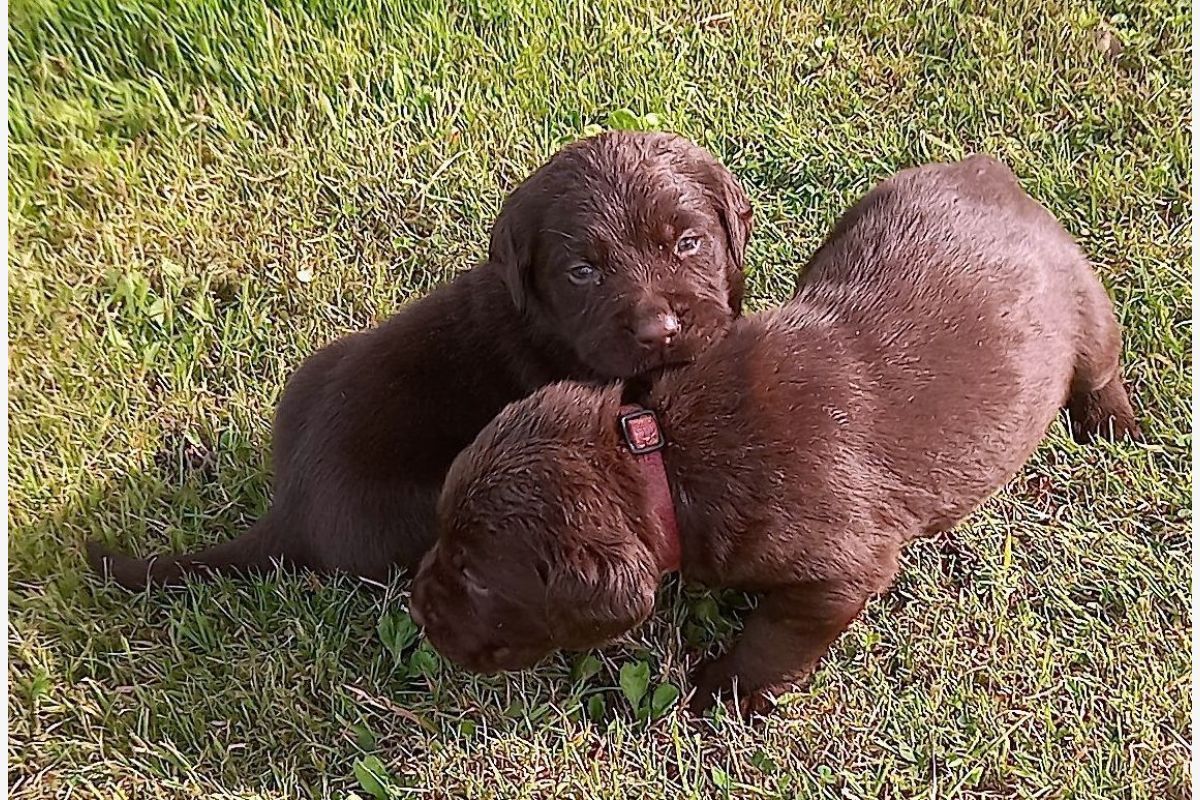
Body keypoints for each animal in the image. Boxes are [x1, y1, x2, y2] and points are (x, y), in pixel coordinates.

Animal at [408, 154, 1137, 714]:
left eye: (473, 574)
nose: (416, 606)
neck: (662, 453)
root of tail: (990, 172)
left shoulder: (839, 574)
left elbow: (777, 634)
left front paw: (727, 690)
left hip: (1086, 306)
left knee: (1101, 367)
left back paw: (1112, 425)